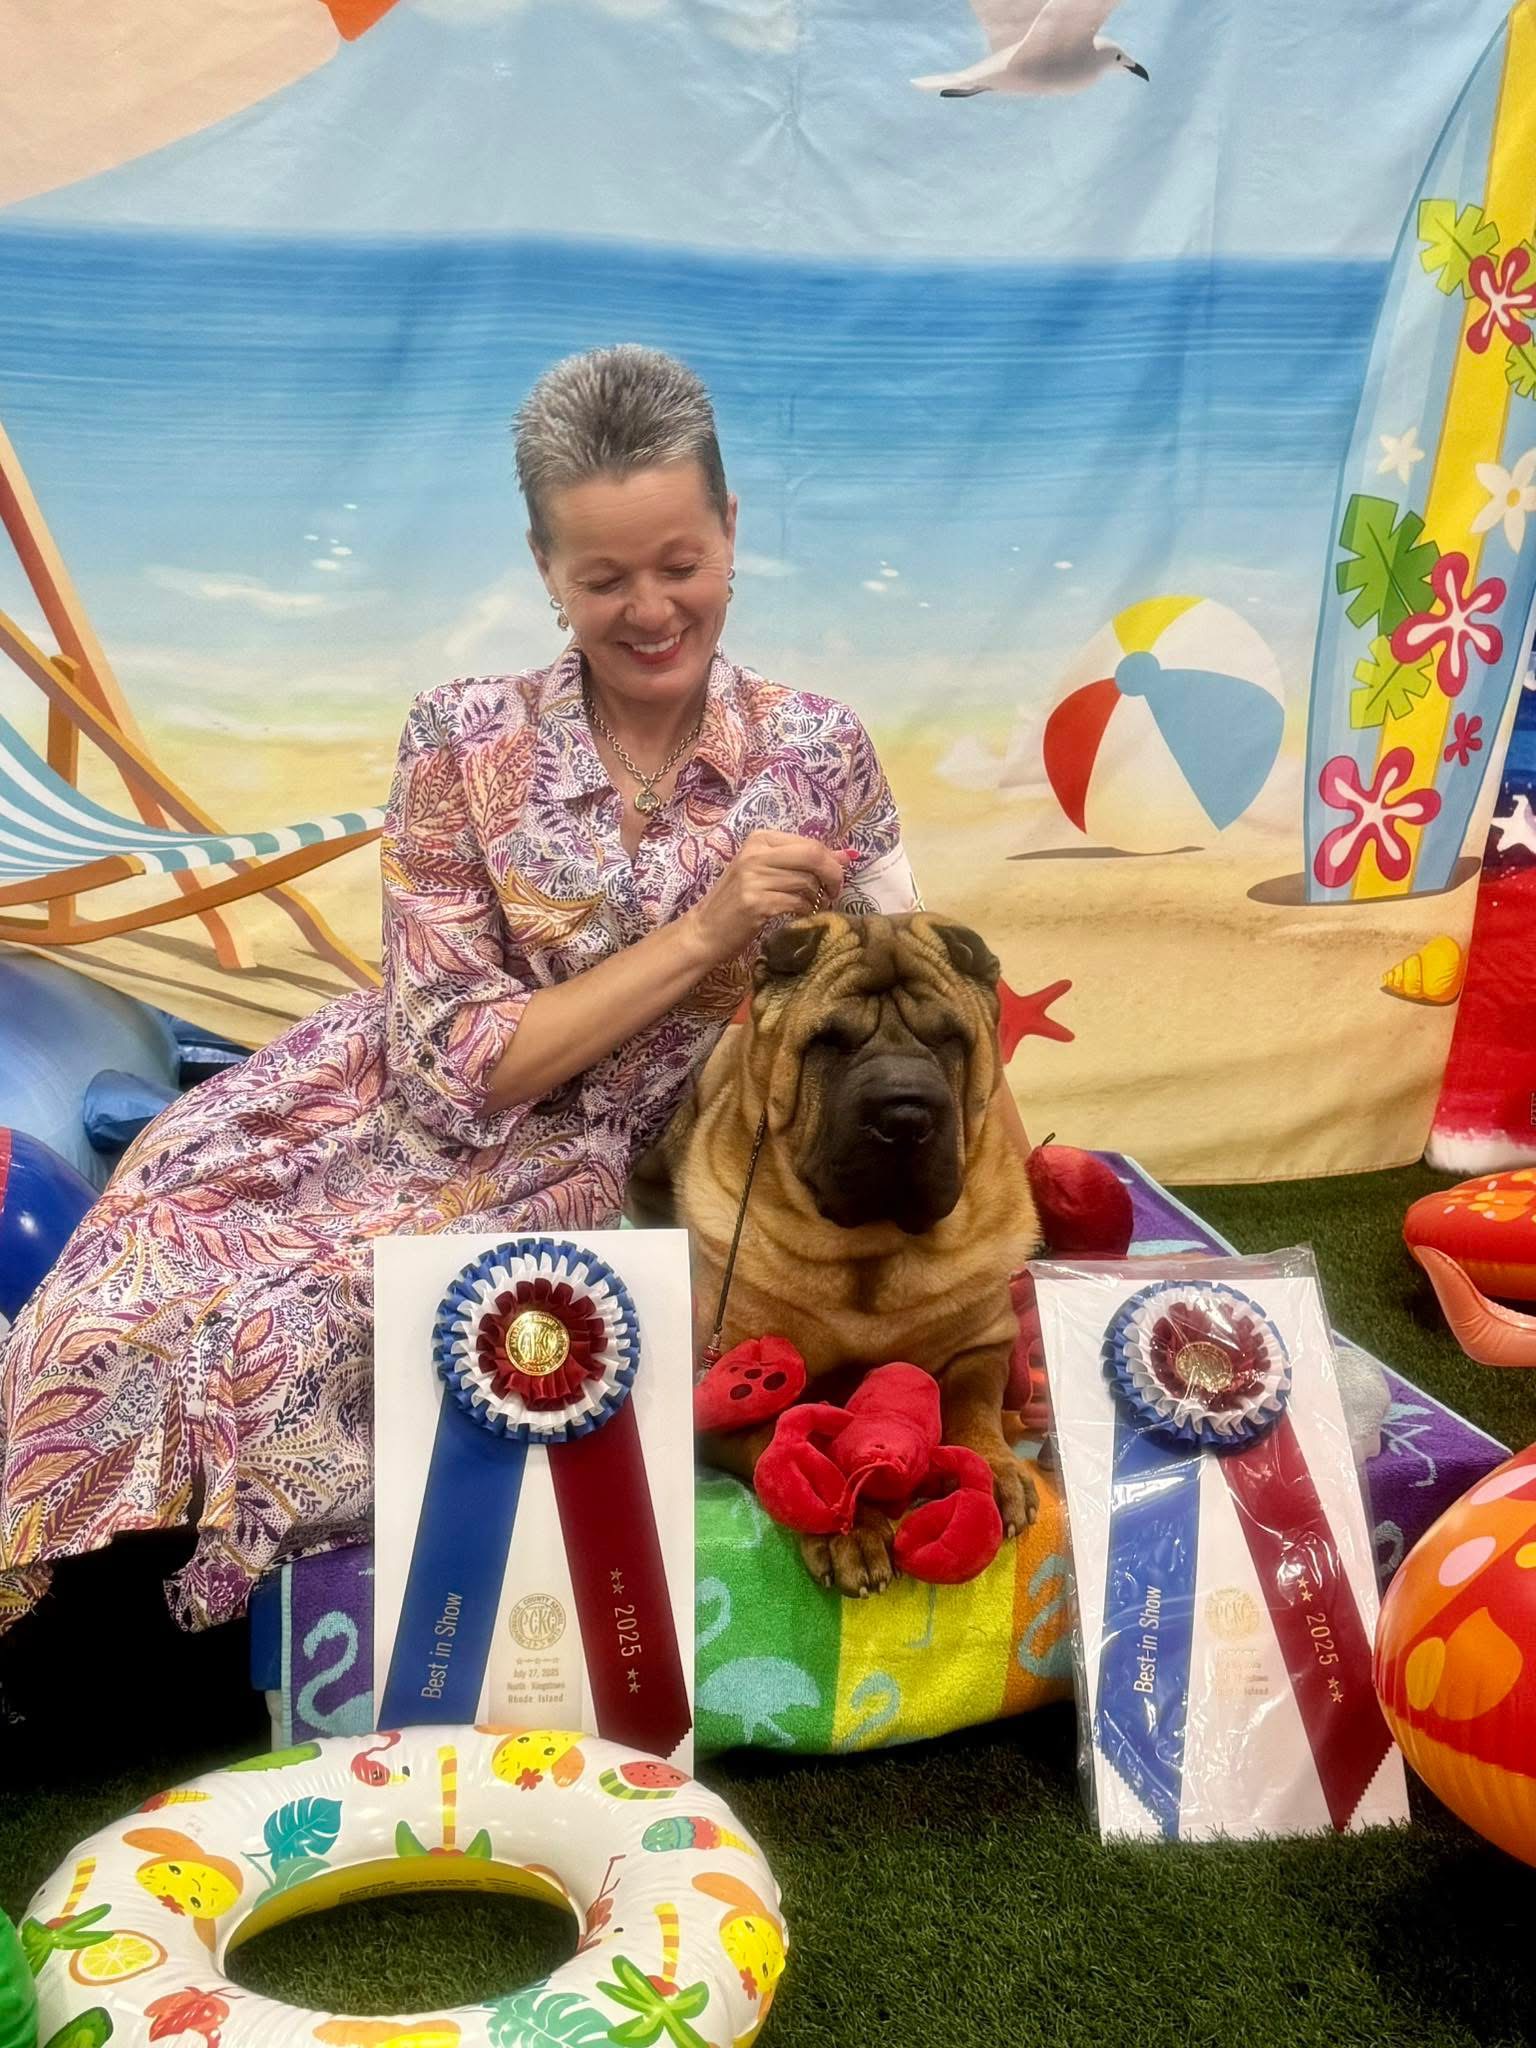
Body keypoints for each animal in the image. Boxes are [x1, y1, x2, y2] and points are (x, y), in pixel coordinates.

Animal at [633, 910, 1042, 1596]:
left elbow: (972, 1399)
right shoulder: (718, 1390)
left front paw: (994, 1467)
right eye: (831, 1042)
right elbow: (779, 1432)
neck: (871, 1254)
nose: (905, 1116)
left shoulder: (986, 1340)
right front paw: (847, 1524)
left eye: (947, 1039)